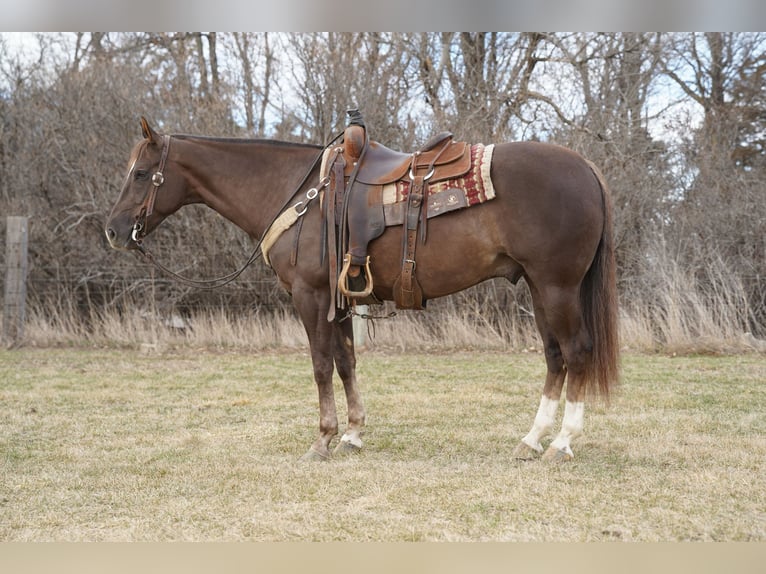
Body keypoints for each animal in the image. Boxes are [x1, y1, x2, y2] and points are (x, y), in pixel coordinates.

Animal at [105, 116, 619, 462]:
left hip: (557, 286)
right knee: (554, 357)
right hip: (538, 287)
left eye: (139, 174)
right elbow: (346, 362)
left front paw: (323, 439)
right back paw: (531, 439)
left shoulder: (310, 296)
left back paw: (561, 443)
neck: (298, 195)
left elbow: (320, 365)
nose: (112, 230)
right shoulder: (341, 300)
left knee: (576, 352)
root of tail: (586, 166)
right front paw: (353, 433)